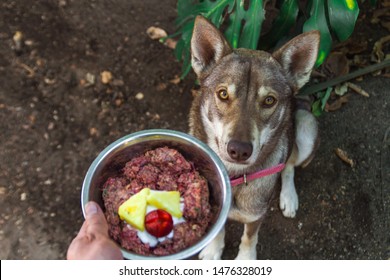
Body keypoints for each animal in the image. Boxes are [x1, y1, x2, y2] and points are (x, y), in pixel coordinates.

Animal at [189, 15, 320, 260]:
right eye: (223, 94)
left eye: (269, 100)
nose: (239, 150)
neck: (233, 175)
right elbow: (218, 230)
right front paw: (213, 251)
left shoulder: (255, 216)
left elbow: (249, 238)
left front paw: (245, 259)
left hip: (306, 125)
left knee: (289, 164)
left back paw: (289, 197)